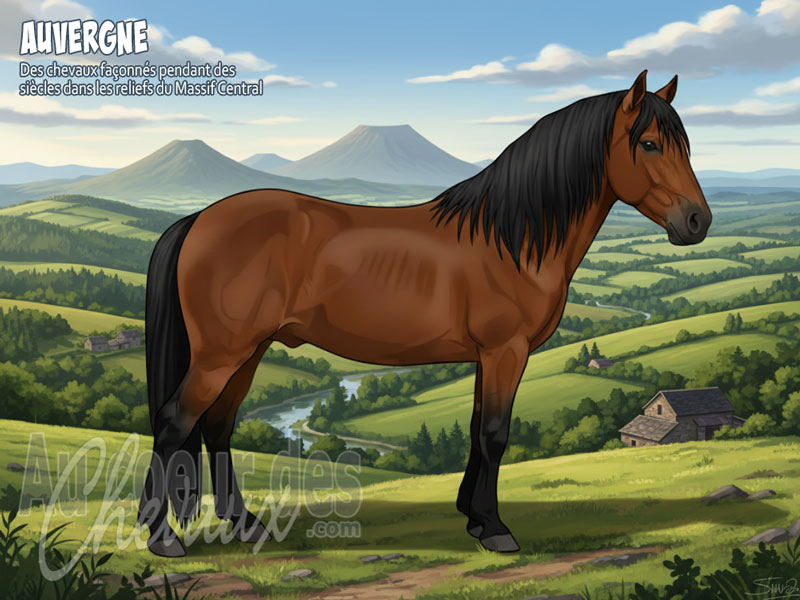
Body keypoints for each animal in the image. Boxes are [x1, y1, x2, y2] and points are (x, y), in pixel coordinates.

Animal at [138, 70, 711, 556]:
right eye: (648, 143)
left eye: (684, 144)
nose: (697, 221)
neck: (511, 238)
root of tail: (197, 219)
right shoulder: (506, 351)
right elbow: (495, 434)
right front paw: (496, 530)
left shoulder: (488, 357)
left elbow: (479, 429)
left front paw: (473, 518)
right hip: (221, 354)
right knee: (174, 422)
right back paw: (163, 538)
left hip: (250, 351)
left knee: (218, 427)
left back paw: (245, 524)